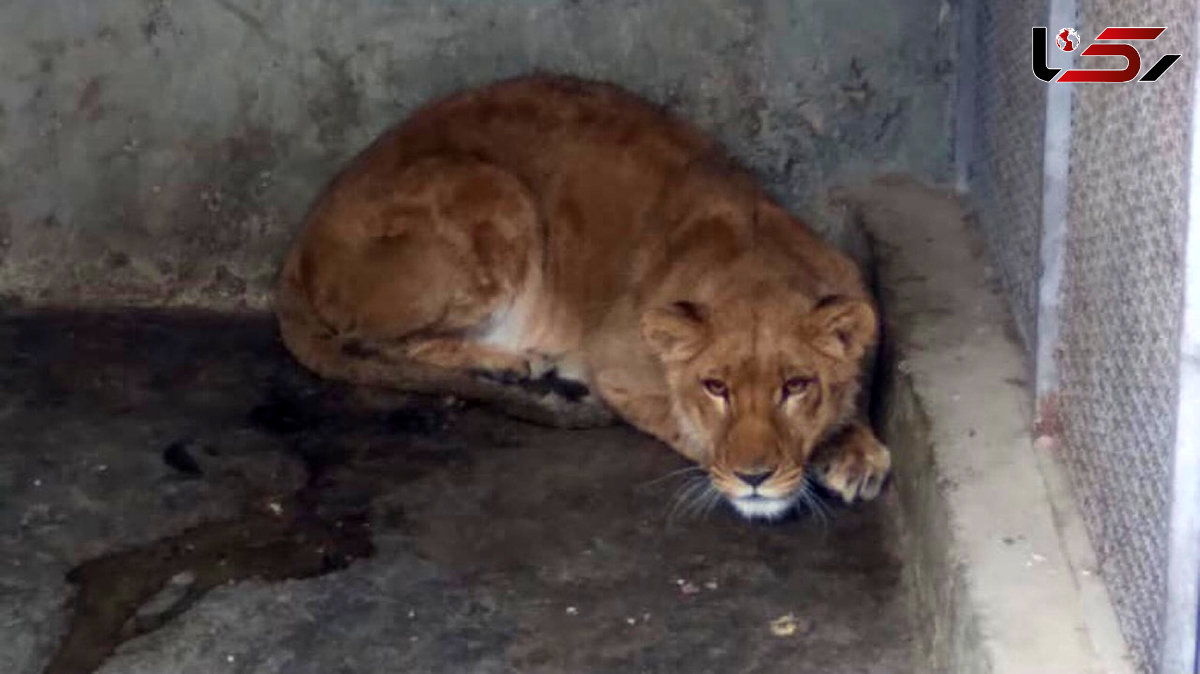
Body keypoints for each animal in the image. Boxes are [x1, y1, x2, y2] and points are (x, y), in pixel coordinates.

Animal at [276, 73, 888, 515]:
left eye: (796, 386)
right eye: (715, 388)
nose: (755, 477)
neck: (754, 258)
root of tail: (300, 241)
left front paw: (855, 451)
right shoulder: (614, 368)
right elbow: (681, 426)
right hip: (495, 195)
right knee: (374, 342)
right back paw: (510, 363)